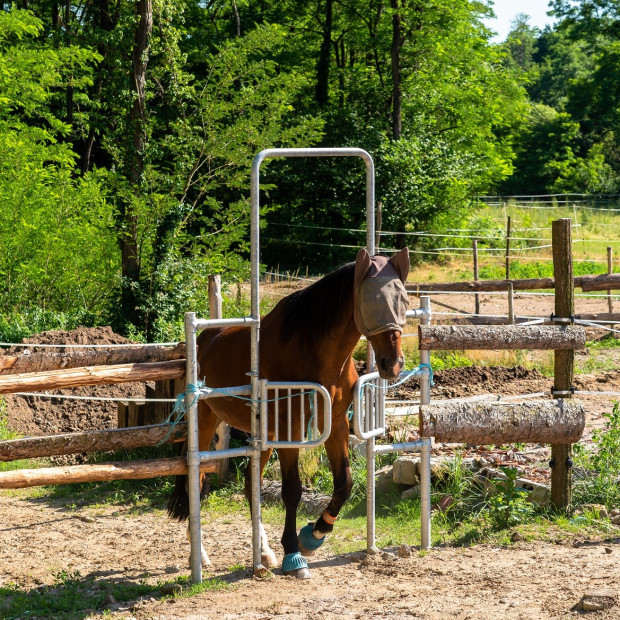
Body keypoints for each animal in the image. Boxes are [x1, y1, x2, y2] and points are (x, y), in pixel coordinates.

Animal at [170, 246, 410, 576]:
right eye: (372, 300)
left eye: (405, 300)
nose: (393, 363)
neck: (314, 352)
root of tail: (201, 339)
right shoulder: (290, 430)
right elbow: (293, 490)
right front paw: (294, 553)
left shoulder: (334, 425)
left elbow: (344, 484)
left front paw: (314, 535)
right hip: (206, 422)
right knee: (196, 479)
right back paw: (202, 556)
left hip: (263, 435)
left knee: (250, 485)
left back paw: (263, 553)